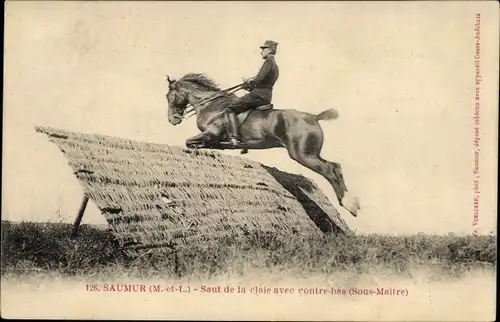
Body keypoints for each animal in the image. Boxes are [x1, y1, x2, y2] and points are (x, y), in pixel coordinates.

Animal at [164, 73, 360, 218]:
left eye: (169, 96)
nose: (173, 120)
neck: (211, 104)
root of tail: (314, 117)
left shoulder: (211, 134)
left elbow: (189, 142)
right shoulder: (213, 141)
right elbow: (198, 145)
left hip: (302, 155)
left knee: (329, 170)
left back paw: (349, 204)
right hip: (311, 153)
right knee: (336, 166)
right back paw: (352, 203)